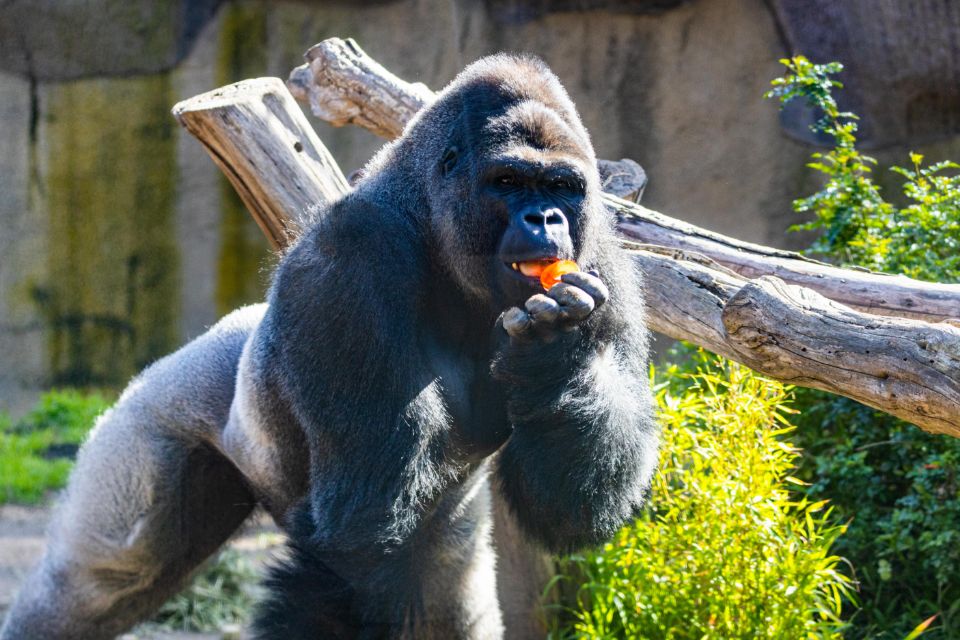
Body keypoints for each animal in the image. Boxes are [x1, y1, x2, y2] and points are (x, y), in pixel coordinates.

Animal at [0, 54, 658, 640]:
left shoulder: (608, 263)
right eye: (508, 182)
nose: (545, 219)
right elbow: (364, 518)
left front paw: (558, 357)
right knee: (96, 583)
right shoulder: (345, 258)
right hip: (158, 410)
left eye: (560, 187)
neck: (427, 220)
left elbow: (573, 511)